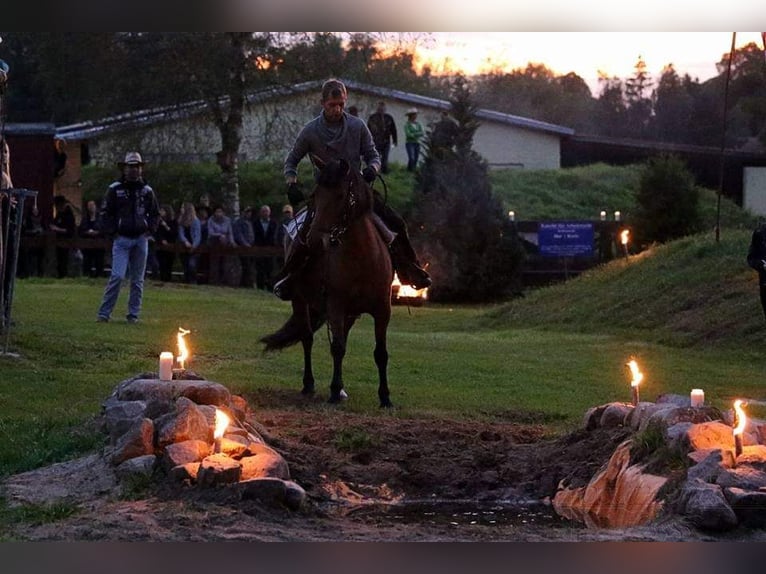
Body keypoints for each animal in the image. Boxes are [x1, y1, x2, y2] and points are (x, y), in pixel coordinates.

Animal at [262, 158, 396, 410]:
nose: (313, 236)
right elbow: (337, 348)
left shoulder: (382, 310)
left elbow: (380, 353)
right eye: (315, 194)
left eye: (341, 195)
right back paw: (309, 384)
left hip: (350, 314)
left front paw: (385, 397)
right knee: (307, 337)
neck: (362, 258)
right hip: (300, 301)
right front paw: (334, 391)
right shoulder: (335, 305)